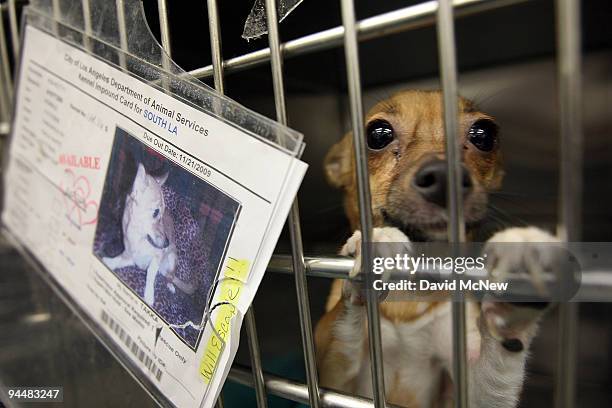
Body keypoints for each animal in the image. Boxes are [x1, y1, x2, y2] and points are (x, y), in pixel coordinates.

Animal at [102, 163, 194, 306]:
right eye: (156, 212)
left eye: (163, 213)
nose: (166, 243)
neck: (139, 237)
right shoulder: (130, 256)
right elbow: (118, 260)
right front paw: (109, 262)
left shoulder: (157, 257)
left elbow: (150, 274)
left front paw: (149, 295)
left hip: (172, 258)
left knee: (171, 277)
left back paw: (170, 285)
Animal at [316, 91, 560, 406]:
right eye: (378, 134)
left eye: (484, 134)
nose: (445, 177)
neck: (408, 299)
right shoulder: (332, 382)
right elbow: (342, 325)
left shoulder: (472, 394)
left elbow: (496, 367)